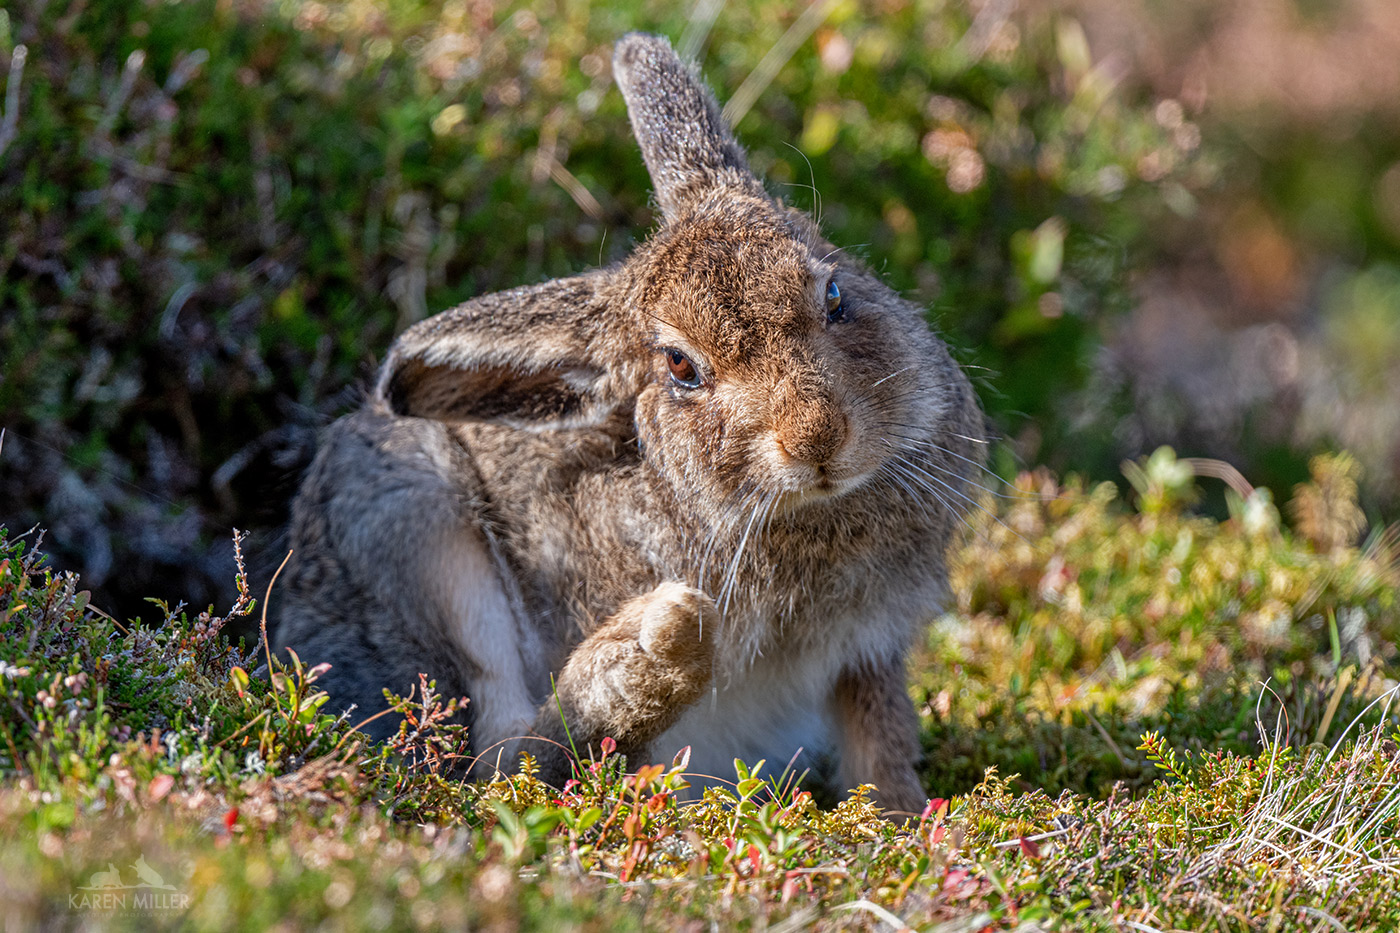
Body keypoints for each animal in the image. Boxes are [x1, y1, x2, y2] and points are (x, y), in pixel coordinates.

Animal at [274, 32, 986, 815]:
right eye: (680, 366)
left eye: (834, 295)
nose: (818, 436)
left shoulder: (866, 653)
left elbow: (879, 744)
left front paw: (907, 815)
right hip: (412, 526)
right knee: (498, 764)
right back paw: (651, 655)